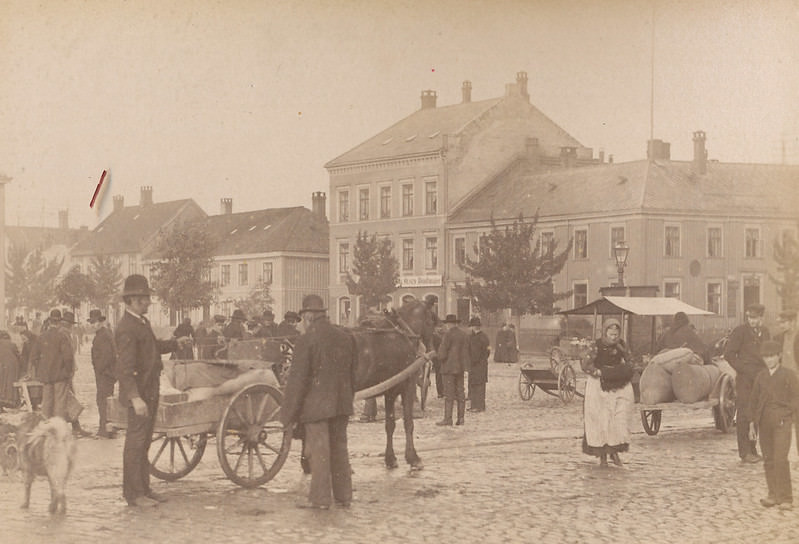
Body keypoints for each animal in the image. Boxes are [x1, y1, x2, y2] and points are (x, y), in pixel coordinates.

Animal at [352, 300, 438, 470]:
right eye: (431, 321)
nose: (431, 351)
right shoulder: (408, 386)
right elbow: (408, 422)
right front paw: (413, 457)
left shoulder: (390, 391)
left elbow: (390, 424)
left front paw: (390, 458)